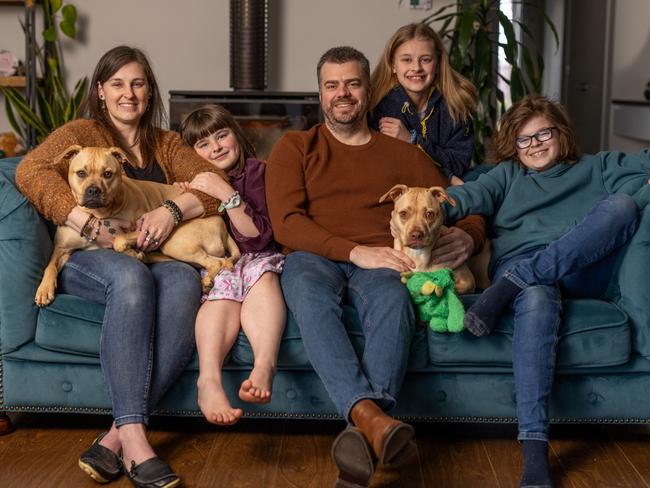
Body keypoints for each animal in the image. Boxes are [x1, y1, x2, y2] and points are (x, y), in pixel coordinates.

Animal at [34, 143, 239, 306]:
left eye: (107, 174)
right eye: (81, 173)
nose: (93, 190)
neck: (97, 214)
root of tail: (223, 226)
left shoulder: (144, 228)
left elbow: (118, 240)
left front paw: (132, 252)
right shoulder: (61, 249)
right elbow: (50, 265)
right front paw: (44, 288)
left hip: (175, 242)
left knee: (216, 262)